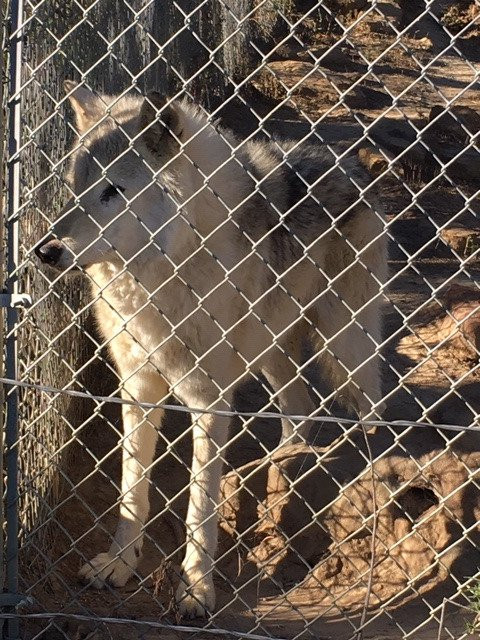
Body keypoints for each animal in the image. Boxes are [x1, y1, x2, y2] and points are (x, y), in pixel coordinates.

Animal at [36, 81, 388, 618]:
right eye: (77, 186)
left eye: (114, 190)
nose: (47, 251)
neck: (159, 278)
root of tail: (349, 163)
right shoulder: (138, 389)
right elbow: (132, 491)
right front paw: (118, 565)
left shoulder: (209, 400)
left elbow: (199, 509)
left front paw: (196, 591)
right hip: (272, 352)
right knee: (301, 408)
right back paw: (280, 463)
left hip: (344, 341)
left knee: (373, 409)